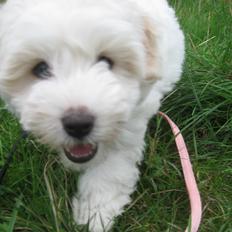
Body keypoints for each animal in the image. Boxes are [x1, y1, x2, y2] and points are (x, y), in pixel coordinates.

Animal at [0, 0, 185, 230]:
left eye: (106, 62)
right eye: (40, 68)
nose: (78, 124)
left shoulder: (129, 124)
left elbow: (111, 170)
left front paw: (95, 214)